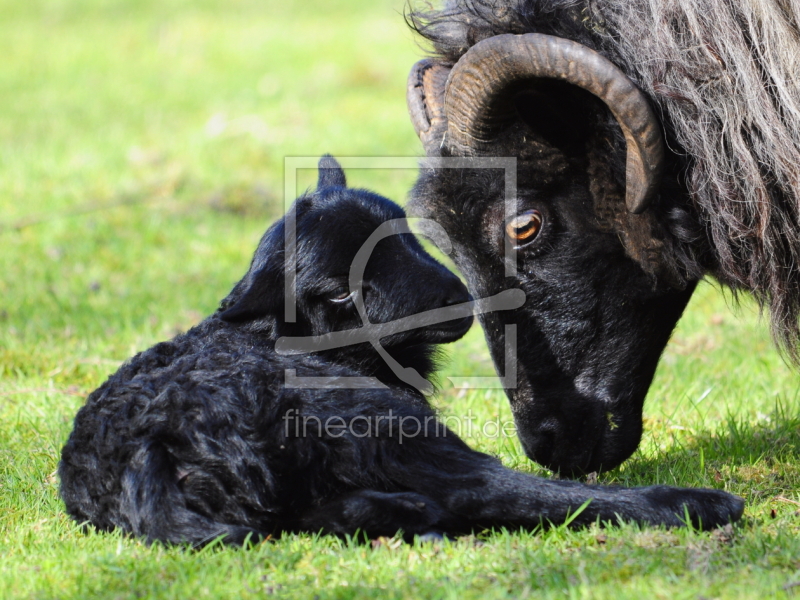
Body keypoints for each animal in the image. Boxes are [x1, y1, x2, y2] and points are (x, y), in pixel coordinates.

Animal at [59, 157, 748, 548]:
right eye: (341, 290)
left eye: (403, 234)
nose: (455, 300)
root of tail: (150, 449)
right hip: (381, 426)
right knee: (486, 490)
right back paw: (691, 504)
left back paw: (400, 513)